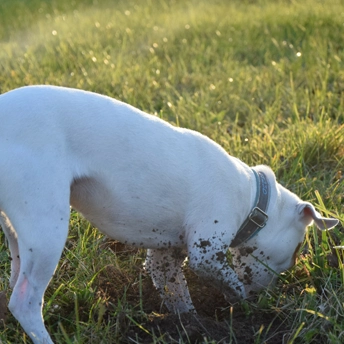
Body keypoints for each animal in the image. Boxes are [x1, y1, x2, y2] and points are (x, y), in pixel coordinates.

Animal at [0, 85, 338, 342]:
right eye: (296, 252)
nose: (264, 299)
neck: (250, 196)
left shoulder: (165, 256)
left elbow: (176, 292)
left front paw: (193, 325)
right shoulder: (206, 252)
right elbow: (229, 282)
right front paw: (239, 304)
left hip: (19, 236)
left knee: (14, 283)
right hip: (46, 228)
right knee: (24, 302)